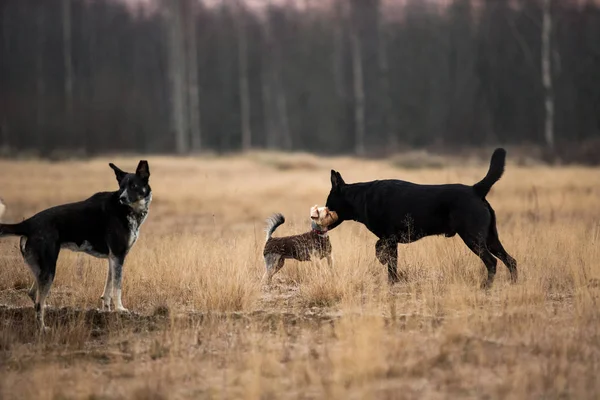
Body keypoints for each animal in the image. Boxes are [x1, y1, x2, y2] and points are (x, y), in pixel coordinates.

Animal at [0, 160, 152, 332]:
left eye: (133, 186)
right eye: (121, 186)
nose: (122, 198)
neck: (126, 209)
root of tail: (29, 223)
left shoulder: (113, 258)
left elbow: (108, 288)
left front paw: (107, 311)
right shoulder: (118, 255)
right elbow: (117, 287)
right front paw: (120, 309)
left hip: (41, 269)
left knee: (33, 294)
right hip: (49, 269)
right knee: (39, 303)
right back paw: (43, 328)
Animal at [324, 148, 516, 290]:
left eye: (328, 204)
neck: (360, 198)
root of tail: (476, 189)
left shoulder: (390, 237)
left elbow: (383, 254)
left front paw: (384, 266)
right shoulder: (392, 240)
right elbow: (390, 263)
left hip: (473, 237)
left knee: (492, 262)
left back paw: (486, 287)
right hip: (490, 238)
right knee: (510, 261)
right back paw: (514, 284)